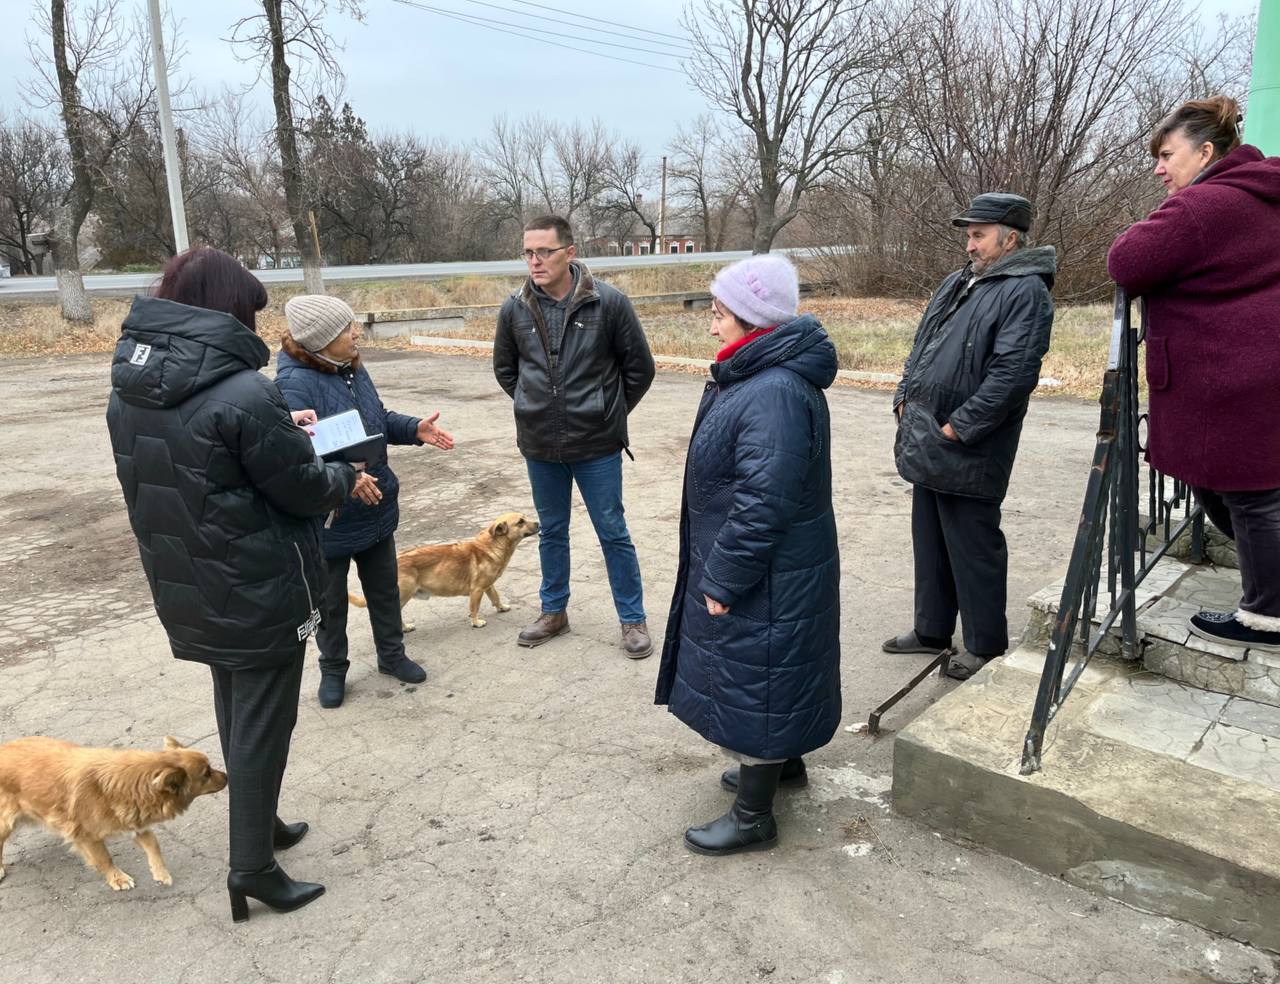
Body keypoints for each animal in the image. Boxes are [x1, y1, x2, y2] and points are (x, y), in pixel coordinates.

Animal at [0, 737, 227, 890]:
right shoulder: (88, 838)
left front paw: (160, 872)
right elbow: (104, 859)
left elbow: (154, 846)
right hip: (5, 824)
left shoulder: (137, 825)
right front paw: (117, 878)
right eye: (206, 773)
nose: (227, 776)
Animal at [350, 511, 540, 624]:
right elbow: (474, 607)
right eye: (520, 522)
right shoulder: (477, 590)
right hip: (402, 596)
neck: (492, 545)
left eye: (524, 518)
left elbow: (496, 597)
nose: (538, 523)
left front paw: (502, 608)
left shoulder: (488, 586)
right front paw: (476, 622)